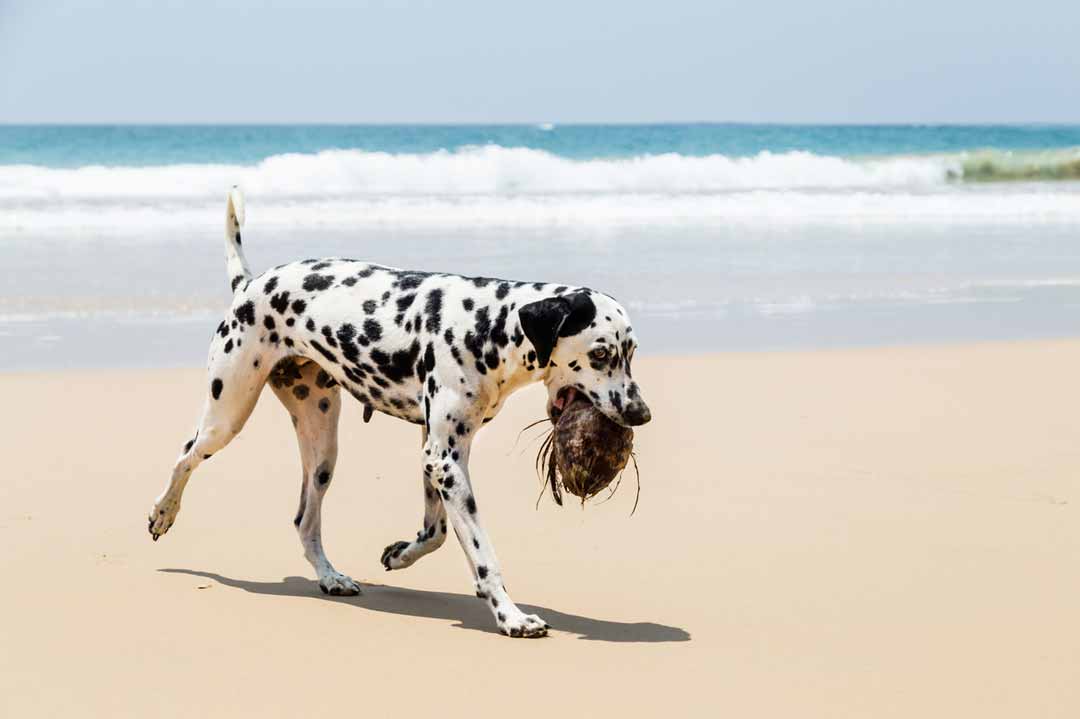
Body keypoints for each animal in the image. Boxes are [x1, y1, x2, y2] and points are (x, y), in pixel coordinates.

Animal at [150, 187, 648, 634]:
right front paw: (510, 616)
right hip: (226, 416)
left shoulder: (438, 455)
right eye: (600, 354)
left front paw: (401, 554)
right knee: (184, 457)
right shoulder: (445, 460)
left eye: (631, 352)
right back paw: (163, 513)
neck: (490, 324)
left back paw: (330, 578)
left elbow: (437, 531)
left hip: (322, 451)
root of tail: (250, 285)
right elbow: (483, 554)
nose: (641, 414)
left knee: (305, 522)